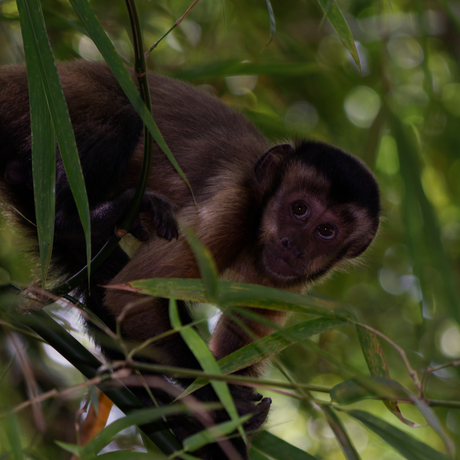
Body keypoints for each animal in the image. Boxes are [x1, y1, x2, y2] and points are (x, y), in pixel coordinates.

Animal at [0, 62, 380, 460]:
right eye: (299, 209)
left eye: (326, 231)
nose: (294, 246)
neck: (257, 217)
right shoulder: (231, 206)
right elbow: (131, 298)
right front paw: (218, 401)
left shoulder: (283, 278)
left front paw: (219, 430)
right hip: (41, 102)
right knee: (122, 113)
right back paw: (74, 217)